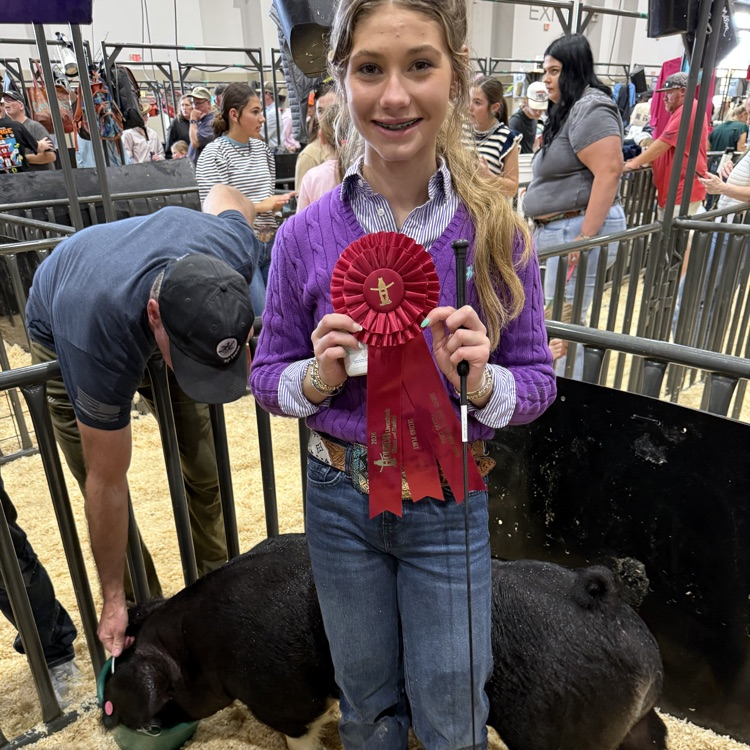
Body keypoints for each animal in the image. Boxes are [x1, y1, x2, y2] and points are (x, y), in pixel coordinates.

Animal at [102, 533, 667, 750]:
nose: (111, 720)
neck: (202, 644)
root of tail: (604, 600)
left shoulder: (284, 698)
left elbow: (300, 734)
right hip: (638, 721)